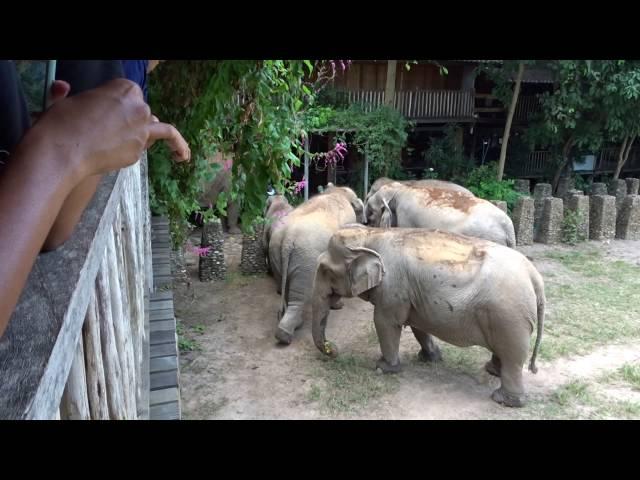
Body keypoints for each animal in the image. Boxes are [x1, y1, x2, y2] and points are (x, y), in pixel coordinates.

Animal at [268, 185, 364, 344]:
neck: (337, 192)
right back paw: (285, 336)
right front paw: (338, 306)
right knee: (301, 293)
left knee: (285, 285)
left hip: (276, 252)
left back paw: (293, 325)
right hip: (306, 259)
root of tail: (288, 238)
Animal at [310, 227, 544, 406]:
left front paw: (384, 368)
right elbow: (418, 324)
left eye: (326, 270)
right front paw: (430, 357)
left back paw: (505, 400)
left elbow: (385, 323)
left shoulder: (392, 287)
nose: (333, 349)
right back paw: (493, 371)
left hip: (509, 316)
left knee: (513, 357)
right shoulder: (414, 294)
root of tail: (534, 276)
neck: (371, 234)